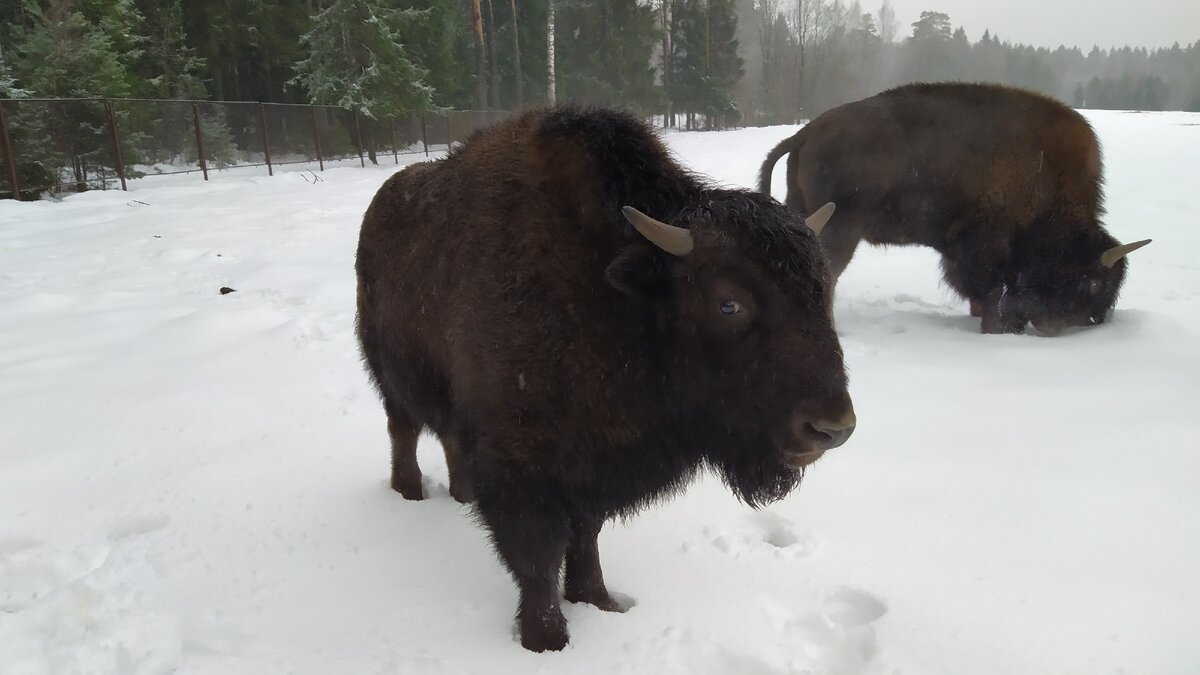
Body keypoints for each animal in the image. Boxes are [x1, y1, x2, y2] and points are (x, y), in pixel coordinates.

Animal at [352, 106, 854, 653]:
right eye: (729, 302)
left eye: (824, 291)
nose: (832, 427)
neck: (611, 297)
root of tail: (380, 206)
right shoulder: (522, 467)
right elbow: (537, 558)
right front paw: (546, 641)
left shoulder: (595, 463)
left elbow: (586, 535)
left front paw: (599, 601)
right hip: (391, 381)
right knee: (403, 431)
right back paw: (409, 493)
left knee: (444, 438)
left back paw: (460, 496)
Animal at [758, 82, 1152, 333]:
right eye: (1094, 281)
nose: (1093, 320)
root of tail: (804, 133)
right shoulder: (985, 245)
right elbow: (988, 288)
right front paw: (997, 327)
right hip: (841, 228)